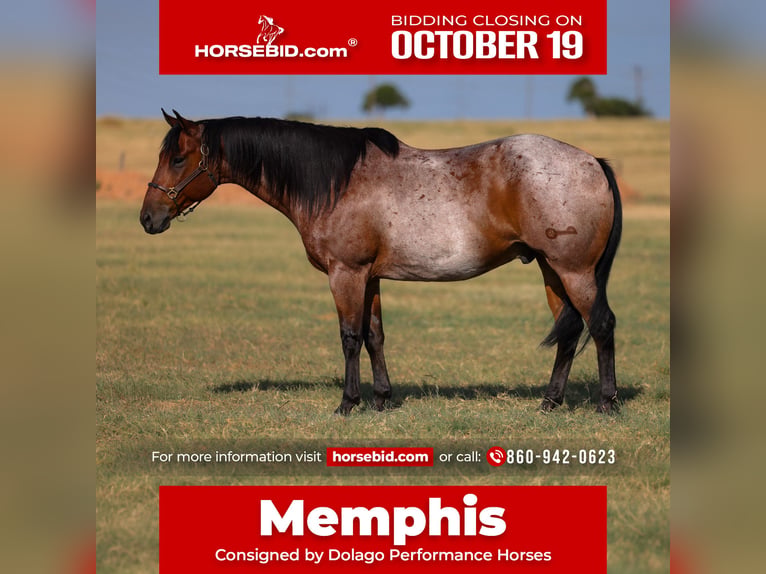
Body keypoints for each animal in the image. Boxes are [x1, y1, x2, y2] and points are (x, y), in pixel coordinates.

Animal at [141, 110, 622, 415]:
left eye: (178, 158)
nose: (148, 218)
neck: (337, 182)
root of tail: (592, 161)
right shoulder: (368, 277)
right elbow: (375, 335)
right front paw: (381, 398)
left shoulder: (346, 273)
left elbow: (350, 337)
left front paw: (347, 403)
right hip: (551, 270)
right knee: (569, 332)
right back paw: (550, 402)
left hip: (574, 271)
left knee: (600, 325)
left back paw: (607, 403)